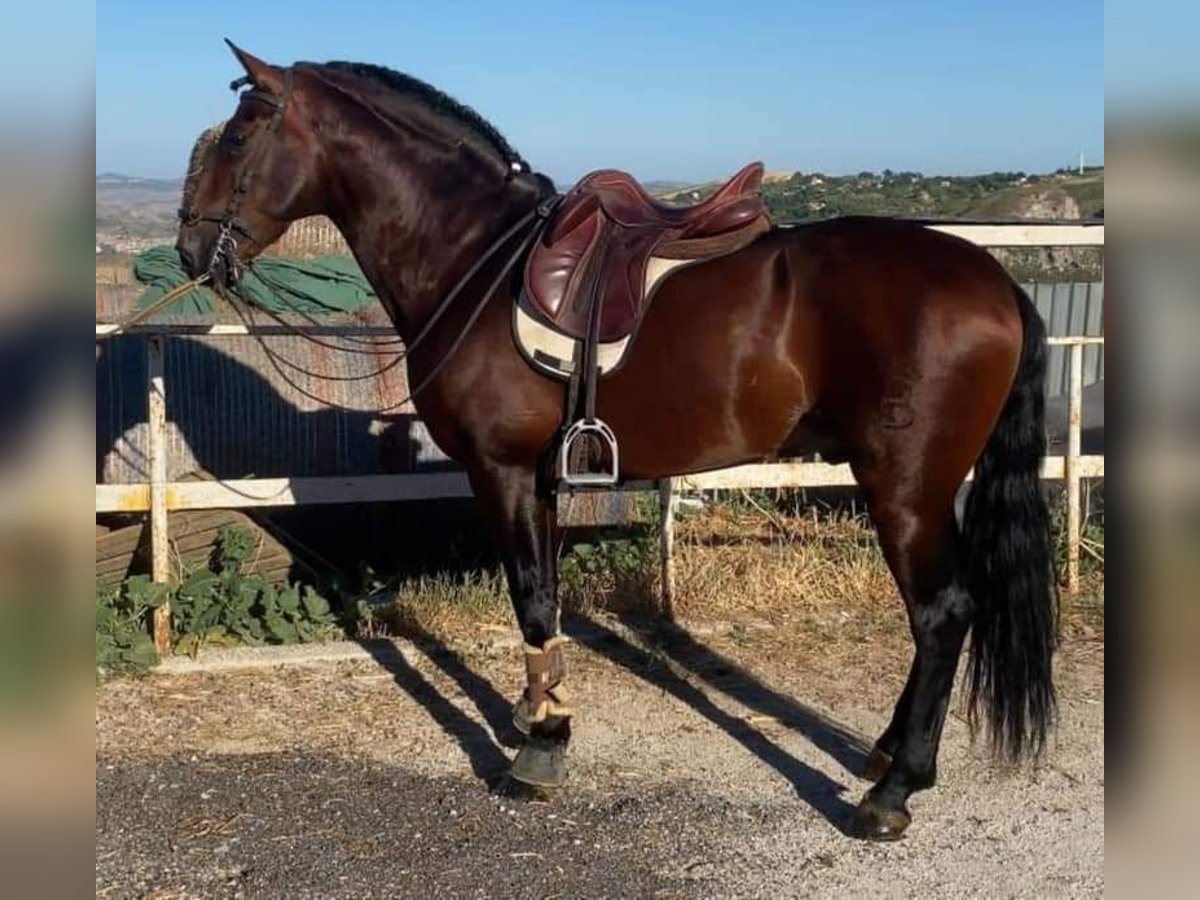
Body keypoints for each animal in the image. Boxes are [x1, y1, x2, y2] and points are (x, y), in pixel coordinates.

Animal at [174, 40, 1056, 844]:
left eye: (239, 136)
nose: (188, 248)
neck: (472, 257)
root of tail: (997, 282)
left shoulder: (500, 472)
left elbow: (533, 599)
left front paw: (541, 748)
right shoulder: (538, 478)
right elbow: (544, 600)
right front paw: (535, 712)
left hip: (905, 487)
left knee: (942, 613)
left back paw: (892, 791)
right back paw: (882, 755)